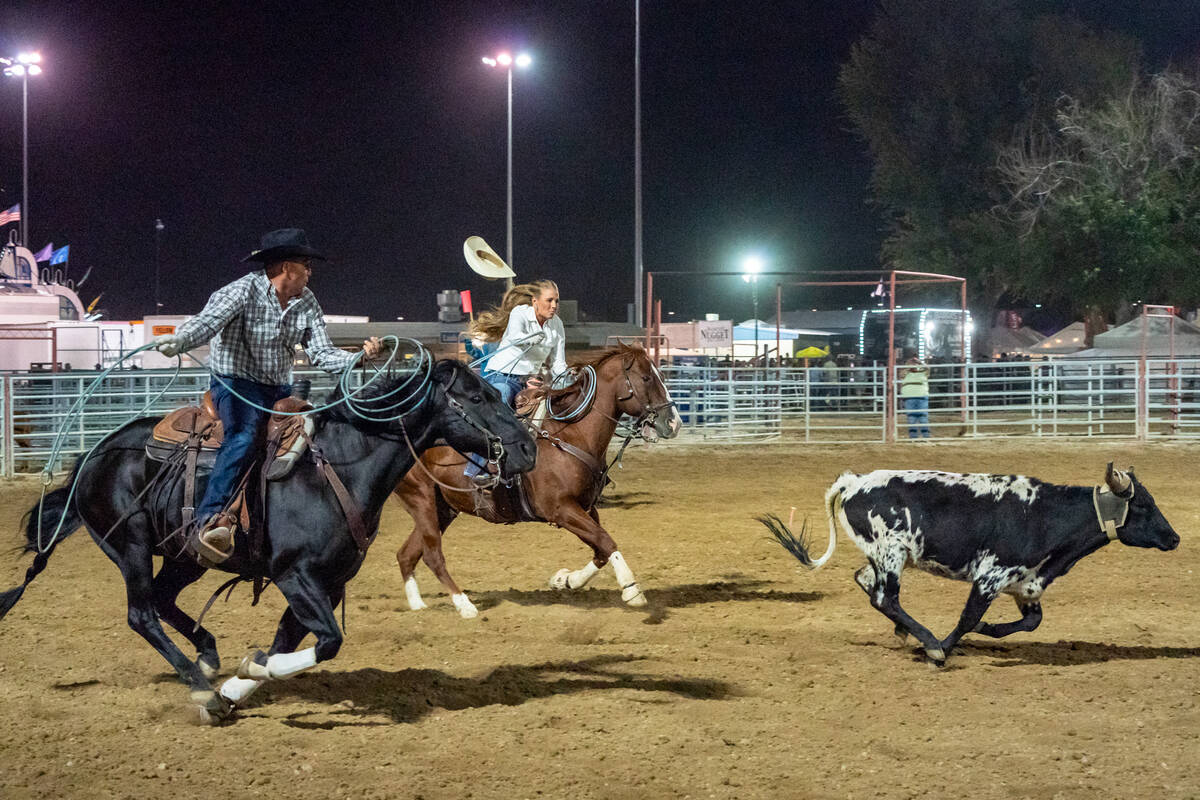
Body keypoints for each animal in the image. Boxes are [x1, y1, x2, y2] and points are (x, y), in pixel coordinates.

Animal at [0, 359, 535, 724]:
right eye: (478, 397)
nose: (529, 449)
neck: (339, 467)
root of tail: (95, 453)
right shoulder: (295, 575)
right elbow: (329, 643)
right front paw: (242, 681)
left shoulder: (328, 583)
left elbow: (289, 643)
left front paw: (242, 681)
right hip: (129, 546)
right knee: (142, 613)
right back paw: (199, 684)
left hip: (186, 554)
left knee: (164, 598)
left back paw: (209, 659)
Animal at [391, 345, 681, 618]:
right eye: (646, 378)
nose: (674, 422)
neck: (570, 435)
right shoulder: (561, 509)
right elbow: (606, 541)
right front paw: (632, 590)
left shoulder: (586, 507)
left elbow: (600, 550)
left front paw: (564, 580)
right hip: (422, 499)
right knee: (432, 555)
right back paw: (465, 606)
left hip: (443, 508)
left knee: (407, 554)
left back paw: (418, 604)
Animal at [763, 462, 1176, 662]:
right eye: (1143, 505)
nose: (1174, 538)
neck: (1044, 514)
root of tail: (854, 482)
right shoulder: (990, 577)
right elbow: (966, 618)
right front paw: (942, 647)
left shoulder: (1026, 585)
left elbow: (1031, 622)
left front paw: (987, 630)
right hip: (891, 554)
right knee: (885, 598)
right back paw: (927, 641)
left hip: (885, 557)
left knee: (866, 582)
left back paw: (904, 632)